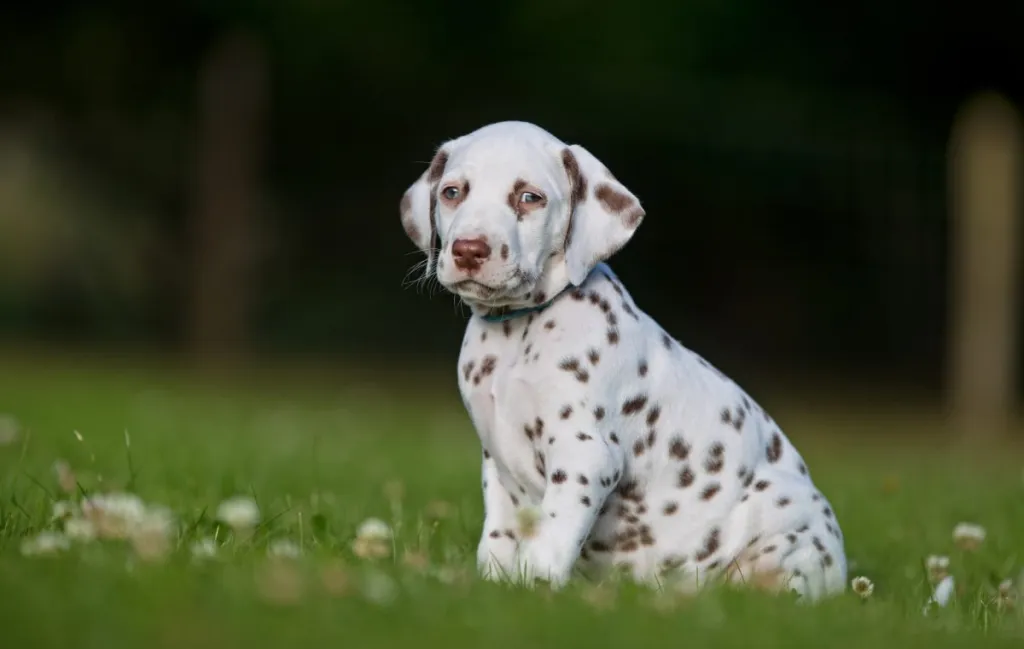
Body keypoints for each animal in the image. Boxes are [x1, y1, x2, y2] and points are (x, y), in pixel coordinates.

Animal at [399, 120, 847, 597]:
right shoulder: (497, 462)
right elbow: (500, 534)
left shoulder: (584, 452)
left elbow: (552, 530)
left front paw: (535, 585)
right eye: (452, 192)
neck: (515, 336)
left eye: (529, 197)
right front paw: (493, 582)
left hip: (782, 527)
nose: (469, 249)